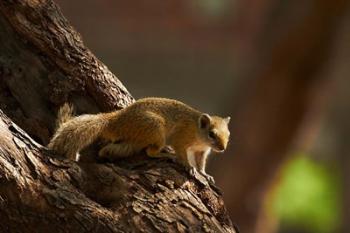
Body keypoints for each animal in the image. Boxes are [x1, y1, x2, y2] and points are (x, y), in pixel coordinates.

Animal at [47, 97, 231, 179]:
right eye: (212, 133)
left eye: (228, 135)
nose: (222, 148)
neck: (198, 134)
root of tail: (115, 120)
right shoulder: (181, 139)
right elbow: (183, 154)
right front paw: (188, 166)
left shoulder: (202, 151)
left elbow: (201, 163)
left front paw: (204, 174)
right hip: (155, 129)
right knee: (150, 152)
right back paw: (166, 154)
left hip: (133, 141)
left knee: (110, 150)